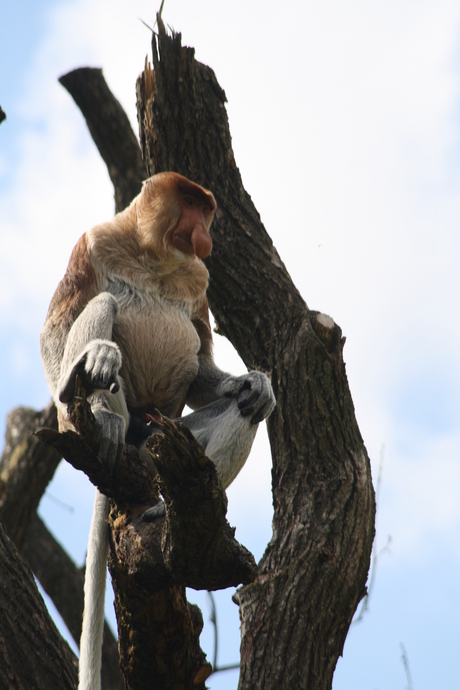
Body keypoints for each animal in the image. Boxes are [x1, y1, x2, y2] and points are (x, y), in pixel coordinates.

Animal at [39, 171, 274, 688]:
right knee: (102, 304)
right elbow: (57, 325)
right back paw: (100, 408)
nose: (204, 233)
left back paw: (167, 508)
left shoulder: (200, 279)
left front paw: (255, 382)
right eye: (189, 202)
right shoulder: (92, 241)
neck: (154, 257)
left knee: (241, 413)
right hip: (130, 425)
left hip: (163, 442)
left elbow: (204, 361)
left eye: (206, 209)